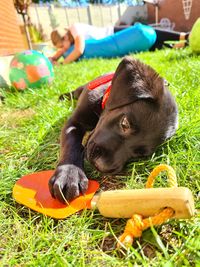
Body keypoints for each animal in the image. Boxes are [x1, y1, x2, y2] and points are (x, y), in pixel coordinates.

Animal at [48, 56, 178, 203]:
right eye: (125, 123)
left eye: (139, 154)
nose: (101, 166)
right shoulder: (74, 122)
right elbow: (71, 143)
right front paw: (69, 174)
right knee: (74, 92)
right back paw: (63, 96)